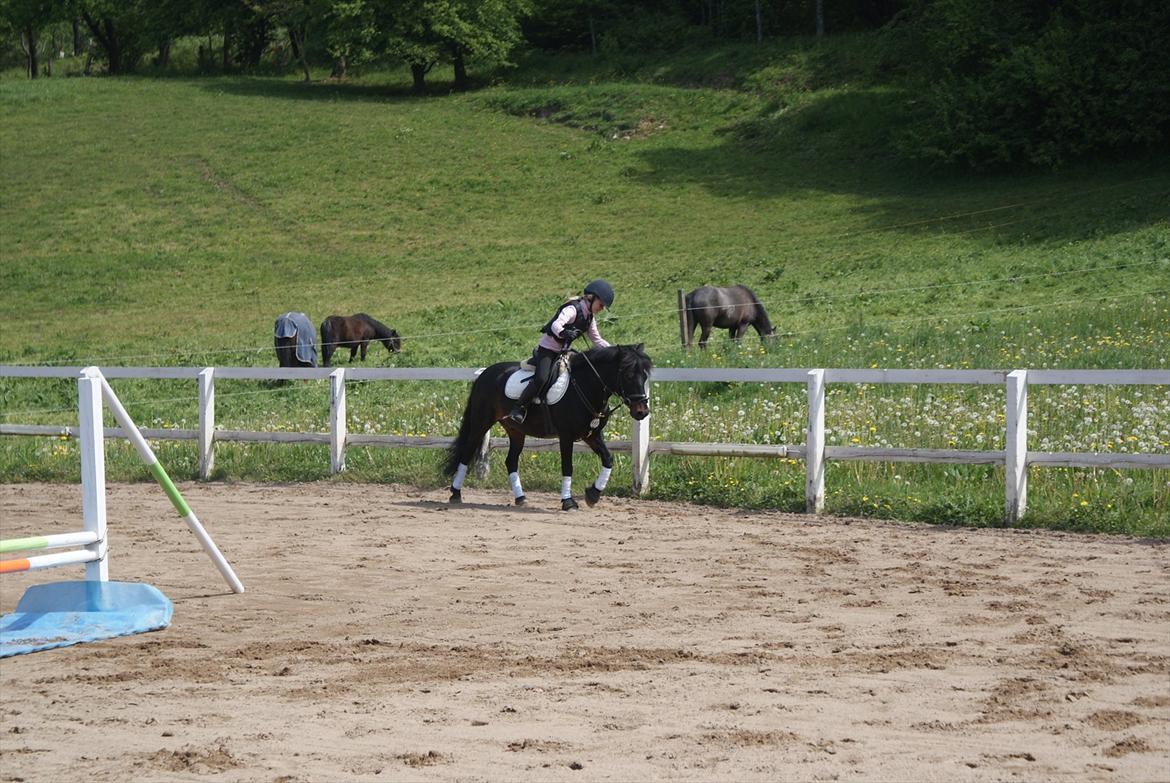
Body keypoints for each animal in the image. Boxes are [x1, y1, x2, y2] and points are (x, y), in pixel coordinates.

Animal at [442, 344, 655, 510]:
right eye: (628, 375)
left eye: (645, 376)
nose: (641, 412)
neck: (585, 386)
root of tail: (484, 374)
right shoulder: (566, 436)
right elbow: (567, 466)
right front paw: (568, 502)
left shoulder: (592, 435)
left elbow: (608, 459)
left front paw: (593, 495)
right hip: (481, 423)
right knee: (466, 453)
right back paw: (456, 494)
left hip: (516, 431)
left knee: (511, 461)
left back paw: (521, 498)